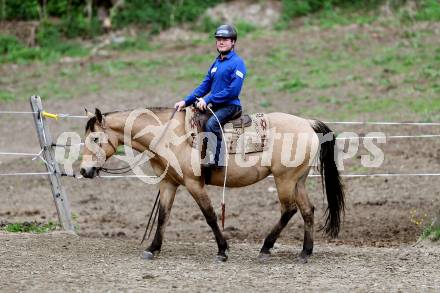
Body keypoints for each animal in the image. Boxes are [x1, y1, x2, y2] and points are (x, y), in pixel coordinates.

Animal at [81, 106, 346, 262]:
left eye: (95, 138)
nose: (84, 170)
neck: (169, 135)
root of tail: (307, 123)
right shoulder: (168, 183)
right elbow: (163, 216)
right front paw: (152, 248)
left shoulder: (194, 184)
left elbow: (209, 215)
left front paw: (222, 250)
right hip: (297, 181)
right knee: (307, 210)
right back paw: (305, 252)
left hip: (285, 180)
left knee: (288, 210)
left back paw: (266, 248)